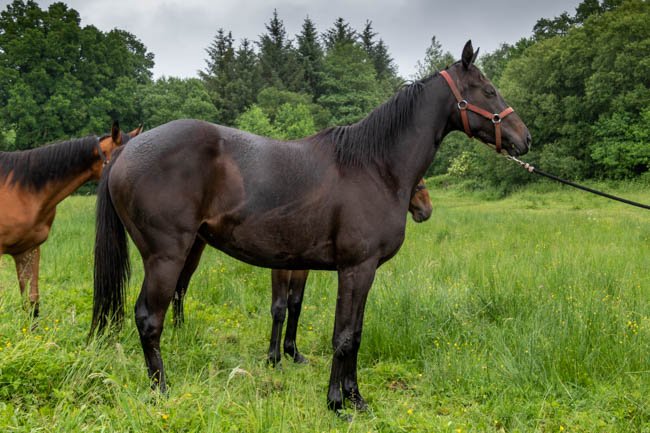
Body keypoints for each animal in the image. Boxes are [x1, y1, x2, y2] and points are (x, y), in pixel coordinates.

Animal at [91, 41, 531, 412]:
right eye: (488, 91)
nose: (524, 138)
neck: (374, 166)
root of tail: (128, 150)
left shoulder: (354, 271)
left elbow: (354, 333)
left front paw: (354, 397)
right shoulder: (356, 268)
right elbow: (344, 336)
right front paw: (338, 402)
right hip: (166, 256)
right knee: (149, 319)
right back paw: (161, 390)